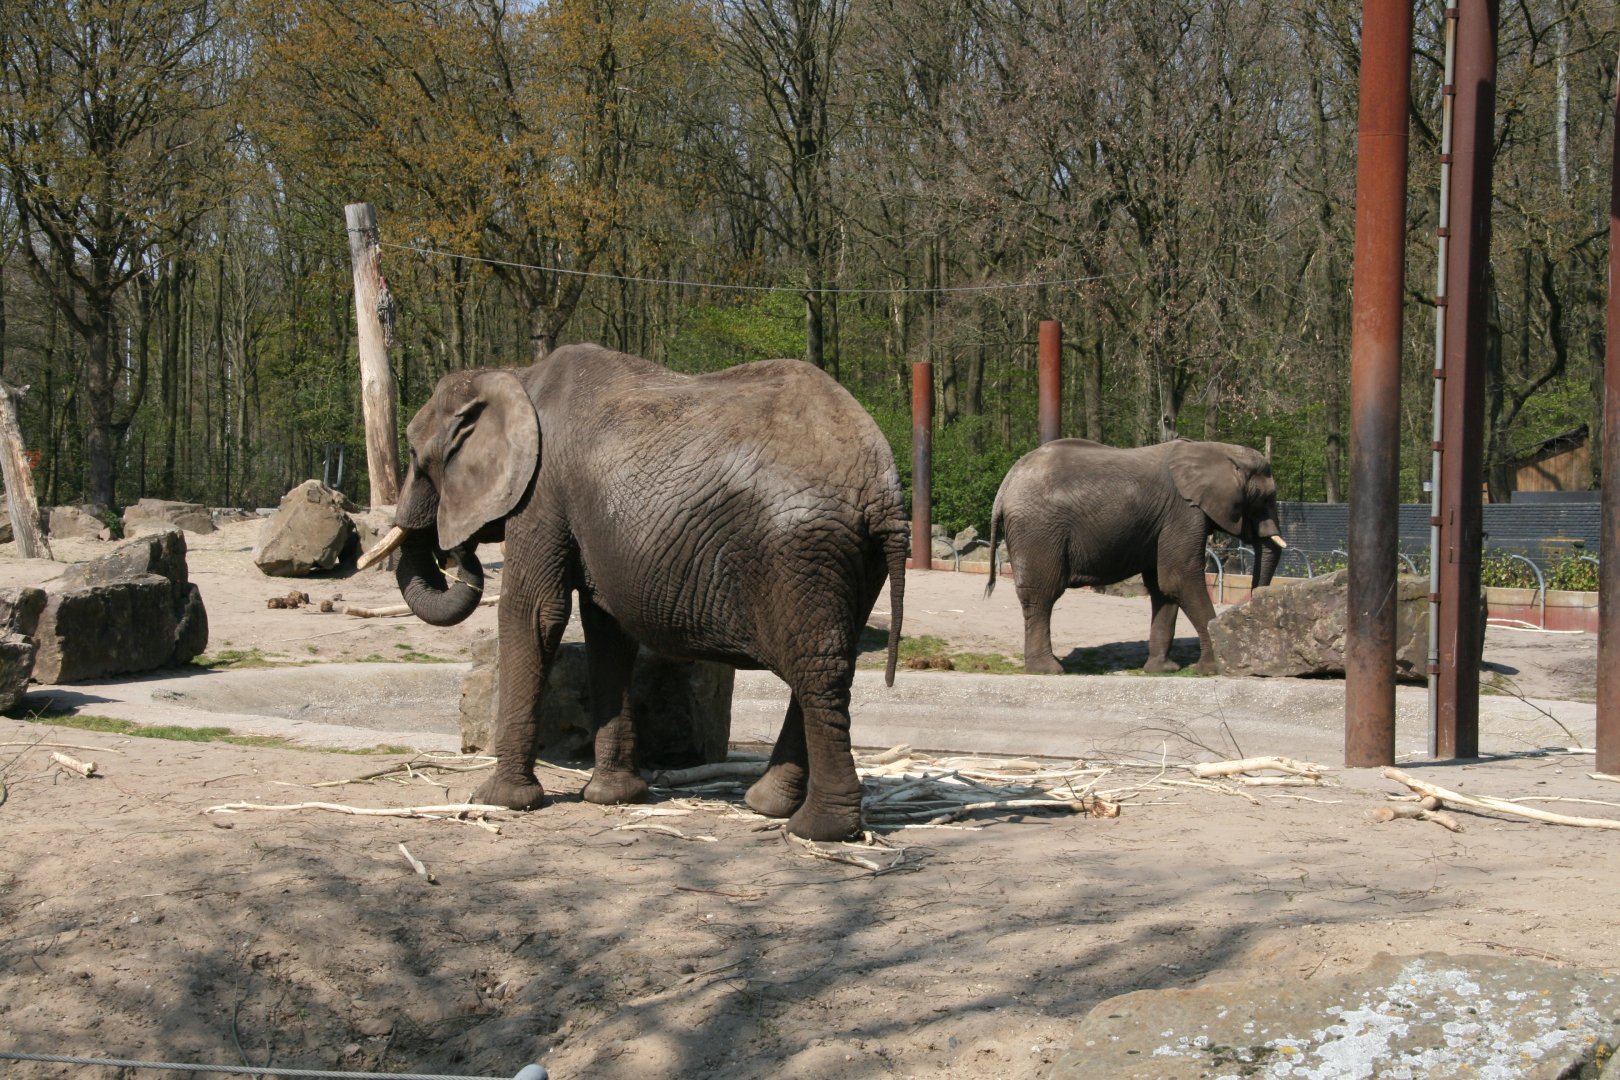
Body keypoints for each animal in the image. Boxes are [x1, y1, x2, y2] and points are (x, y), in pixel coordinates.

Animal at [360, 344, 908, 841]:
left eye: (415, 456)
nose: (458, 550)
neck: (514, 373)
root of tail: (880, 484)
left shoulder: (542, 493)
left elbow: (535, 613)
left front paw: (498, 801)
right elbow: (607, 630)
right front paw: (613, 797)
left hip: (801, 550)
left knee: (816, 672)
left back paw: (818, 830)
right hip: (853, 560)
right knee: (827, 663)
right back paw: (770, 806)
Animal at [985, 438, 1286, 675]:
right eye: (1266, 498)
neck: (1218, 449)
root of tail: (1004, 488)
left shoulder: (1163, 522)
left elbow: (1162, 586)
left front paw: (1162, 670)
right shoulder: (1184, 512)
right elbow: (1179, 578)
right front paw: (1212, 670)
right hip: (1039, 531)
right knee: (1043, 593)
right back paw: (1049, 670)